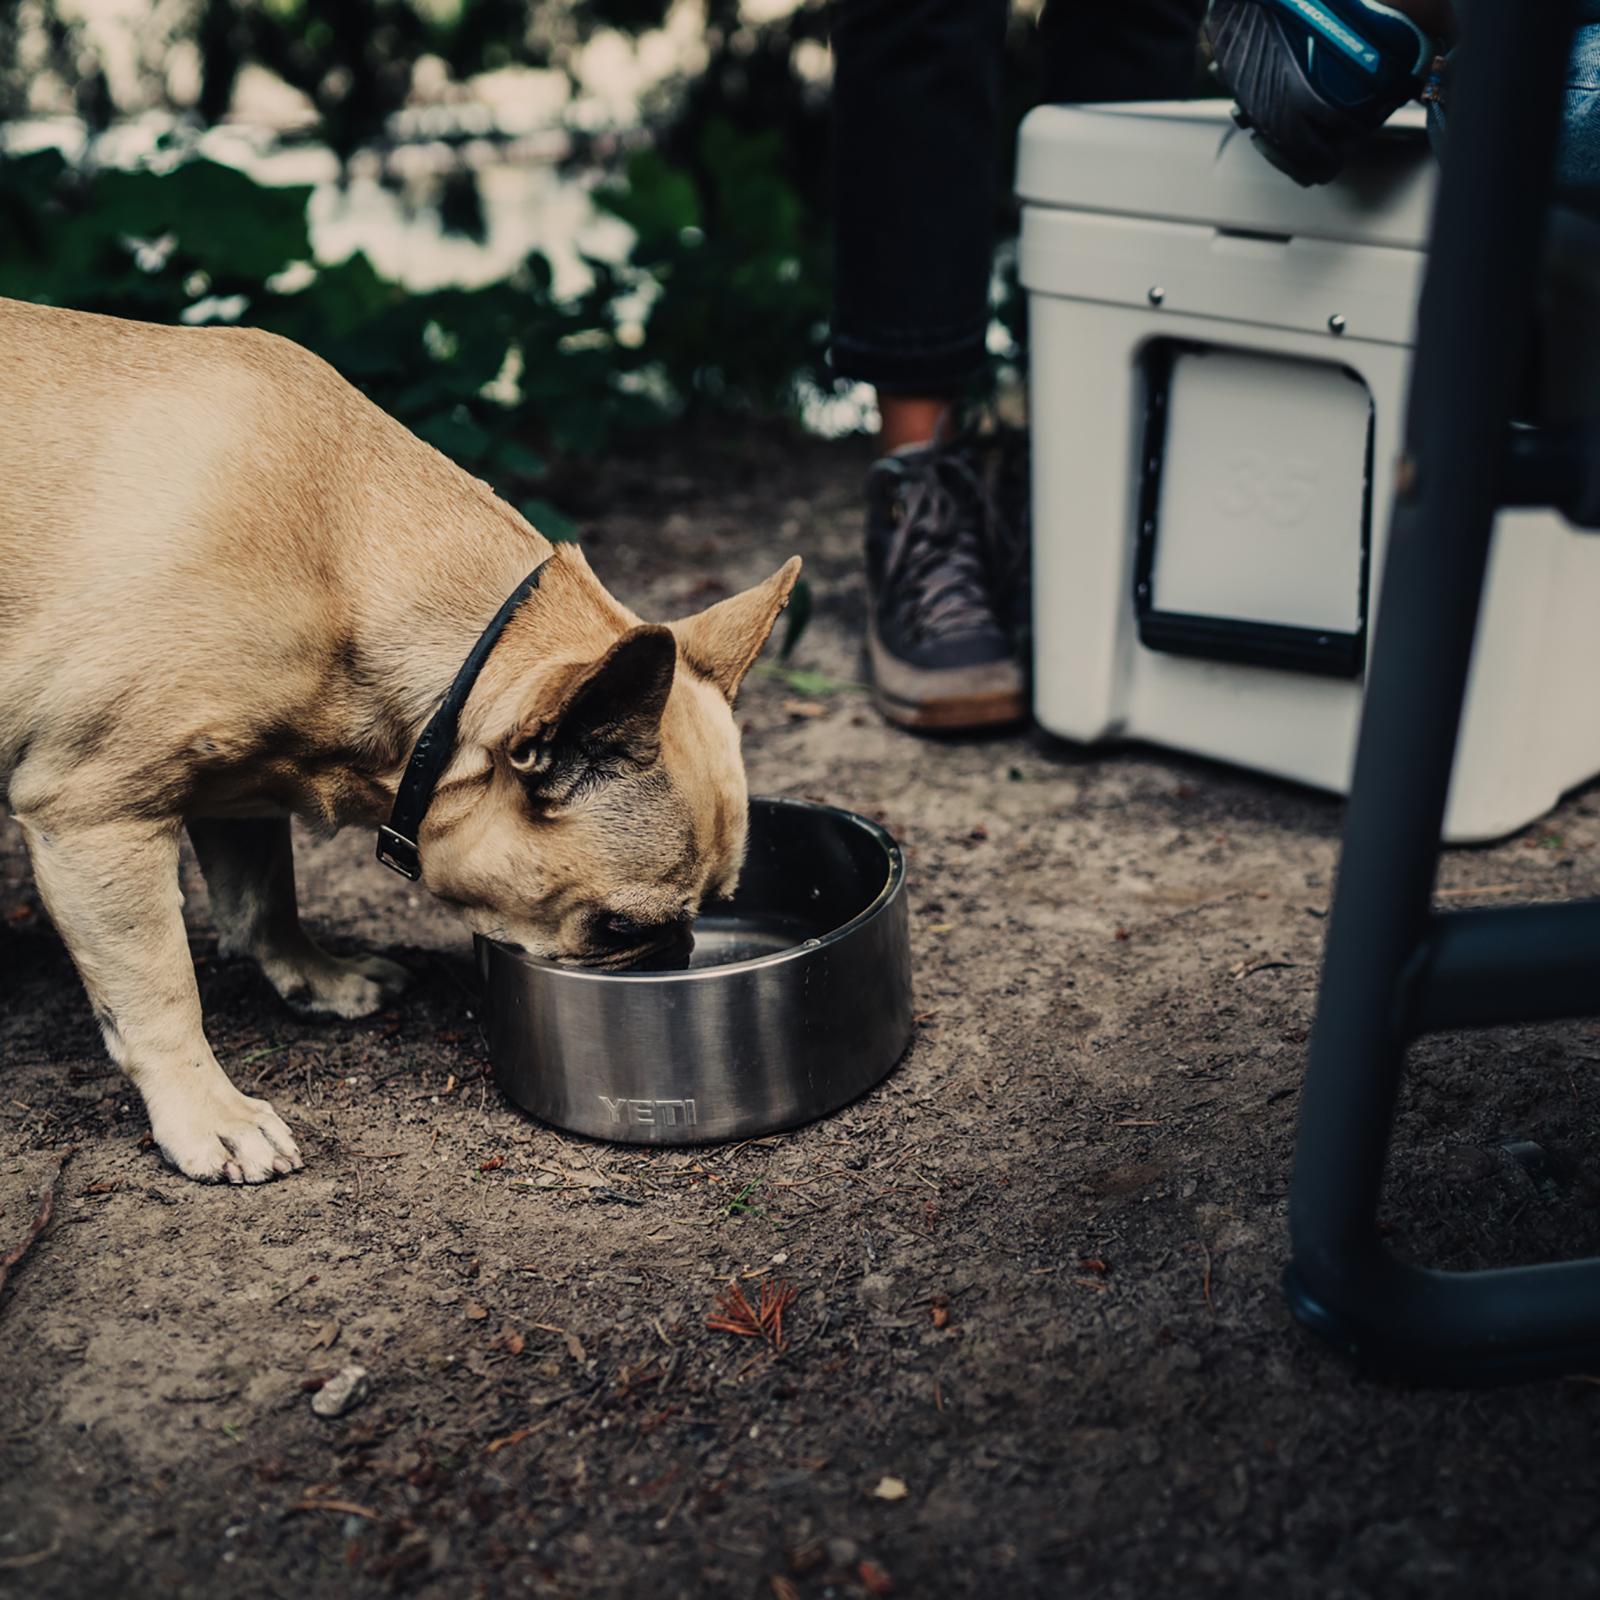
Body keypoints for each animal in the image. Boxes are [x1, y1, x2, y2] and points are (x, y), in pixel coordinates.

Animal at [0, 297, 800, 1177]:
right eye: (622, 928)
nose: (675, 962)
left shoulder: (236, 787)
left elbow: (265, 897)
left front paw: (316, 978)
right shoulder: (96, 816)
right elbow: (159, 986)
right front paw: (208, 1111)